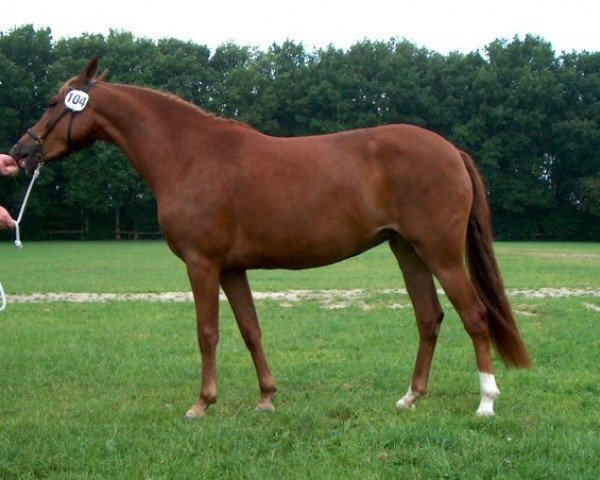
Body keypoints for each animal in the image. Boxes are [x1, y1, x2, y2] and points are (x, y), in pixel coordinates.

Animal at [10, 55, 528, 416]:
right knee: (429, 317)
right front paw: (265, 398)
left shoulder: (202, 264)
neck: (187, 154)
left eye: (53, 104)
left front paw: (202, 403)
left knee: (474, 316)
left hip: (441, 252)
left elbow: (208, 332)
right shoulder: (232, 268)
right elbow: (250, 329)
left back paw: (486, 401)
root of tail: (450, 149)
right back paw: (410, 398)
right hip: (408, 250)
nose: (19, 152)